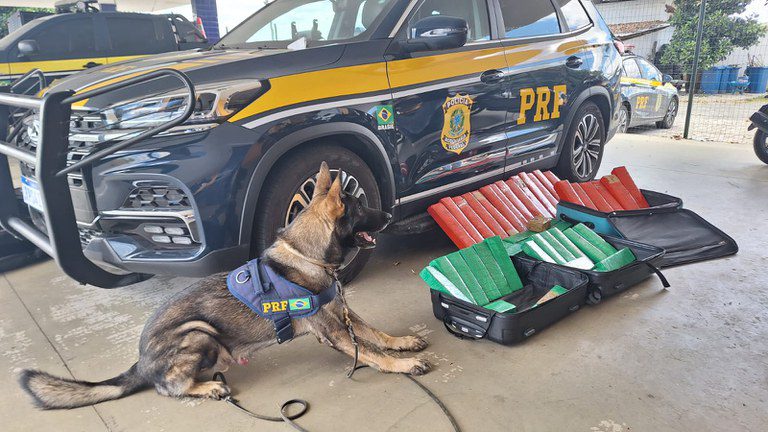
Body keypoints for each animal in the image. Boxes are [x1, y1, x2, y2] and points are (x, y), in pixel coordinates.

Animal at [19, 162, 432, 408]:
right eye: (361, 208)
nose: (390, 214)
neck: (308, 255)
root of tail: (141, 362)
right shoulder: (332, 330)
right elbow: (373, 353)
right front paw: (402, 364)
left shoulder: (342, 312)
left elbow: (375, 333)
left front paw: (402, 343)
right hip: (196, 333)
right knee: (168, 387)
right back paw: (206, 387)